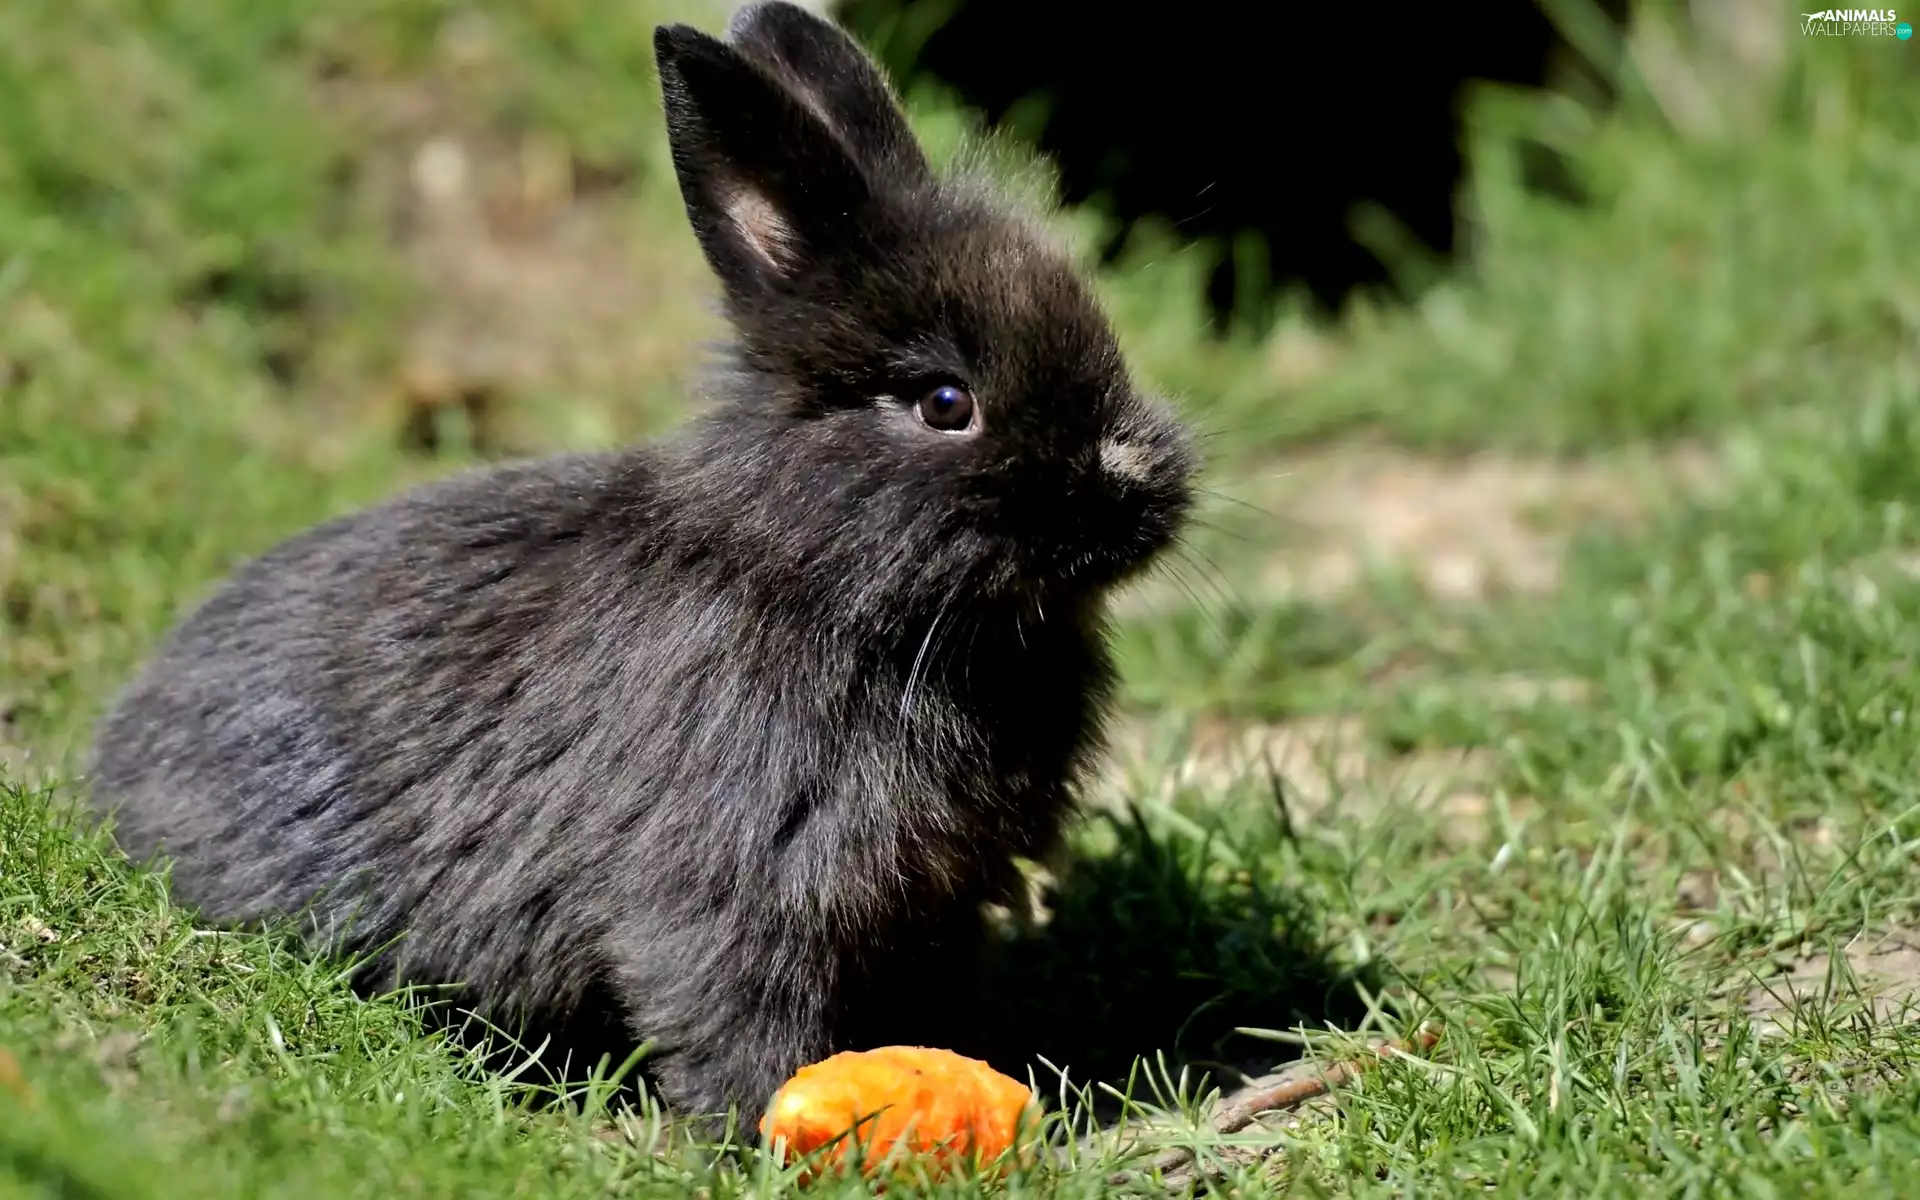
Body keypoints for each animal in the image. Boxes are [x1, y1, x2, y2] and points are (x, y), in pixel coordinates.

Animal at [86, 0, 1195, 1133]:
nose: (1140, 490)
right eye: (943, 402)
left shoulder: (944, 899)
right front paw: (755, 1132)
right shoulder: (732, 887)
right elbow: (725, 1011)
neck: (817, 576)